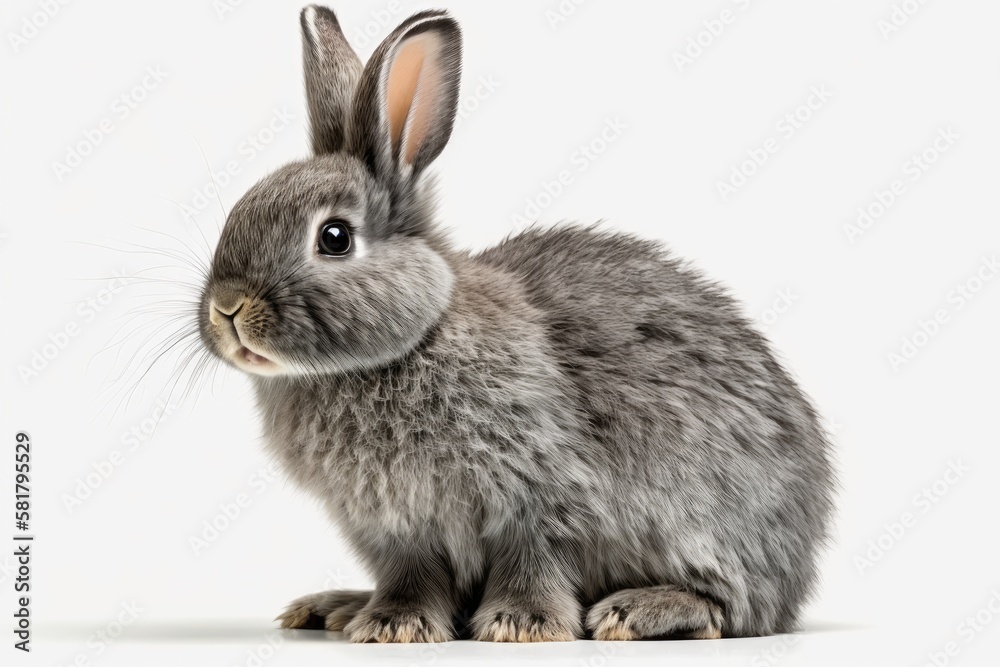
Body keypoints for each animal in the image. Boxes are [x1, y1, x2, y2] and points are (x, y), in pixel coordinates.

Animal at [197, 3, 836, 640]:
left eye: (334, 237)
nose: (227, 308)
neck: (415, 338)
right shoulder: (395, 528)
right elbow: (410, 575)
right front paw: (391, 624)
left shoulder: (542, 492)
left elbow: (534, 556)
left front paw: (519, 624)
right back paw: (335, 606)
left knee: (727, 607)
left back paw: (636, 610)